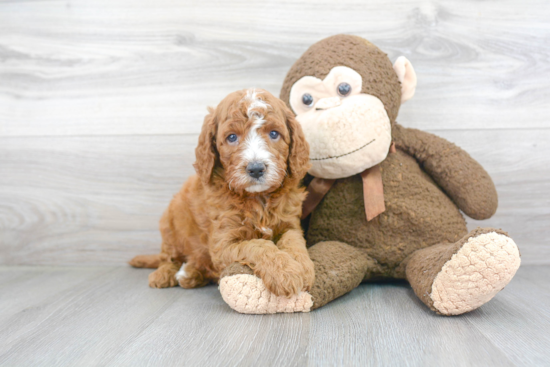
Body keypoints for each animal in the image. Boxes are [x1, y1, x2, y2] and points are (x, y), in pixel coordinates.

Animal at [130, 89, 316, 300]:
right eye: (232, 137)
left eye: (274, 134)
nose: (256, 168)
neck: (257, 198)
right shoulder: (224, 244)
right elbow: (258, 246)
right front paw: (285, 272)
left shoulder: (290, 225)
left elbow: (294, 242)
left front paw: (304, 267)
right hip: (170, 224)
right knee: (168, 257)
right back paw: (165, 274)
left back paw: (190, 274)